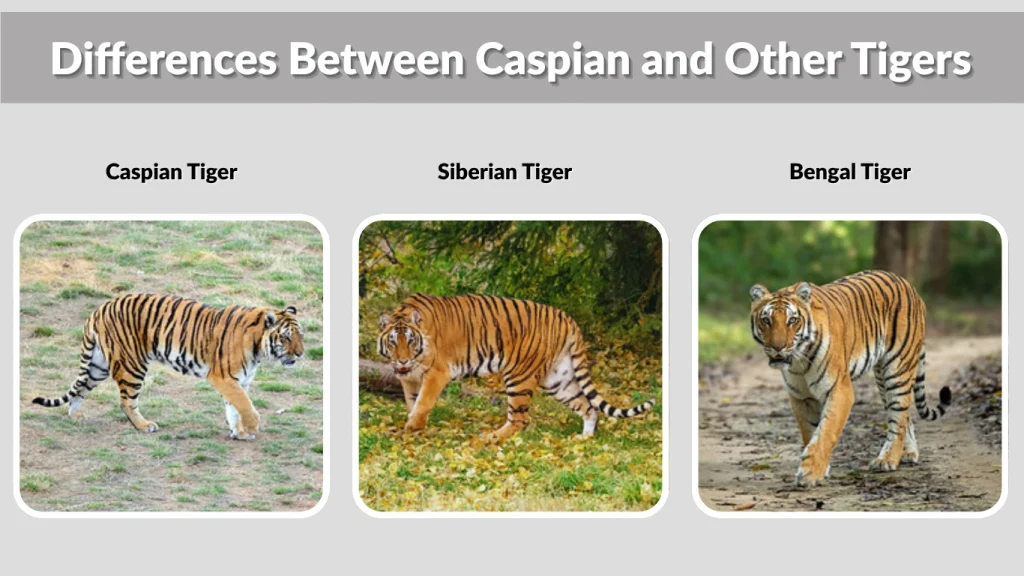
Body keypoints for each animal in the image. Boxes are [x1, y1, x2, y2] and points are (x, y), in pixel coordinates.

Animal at [31, 294, 305, 440]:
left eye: (301, 335)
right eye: (286, 338)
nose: (301, 354)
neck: (259, 348)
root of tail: (100, 308)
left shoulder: (239, 381)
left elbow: (234, 407)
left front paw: (238, 432)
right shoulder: (224, 377)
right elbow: (245, 405)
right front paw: (251, 427)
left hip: (98, 366)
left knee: (80, 388)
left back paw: (75, 416)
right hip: (132, 364)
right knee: (126, 401)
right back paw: (144, 425)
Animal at [376, 293, 656, 441]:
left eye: (410, 341)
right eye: (393, 342)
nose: (402, 361)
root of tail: (567, 317)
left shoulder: (436, 373)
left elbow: (423, 402)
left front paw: (411, 428)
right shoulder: (409, 378)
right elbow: (412, 402)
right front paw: (413, 429)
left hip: (519, 376)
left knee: (520, 419)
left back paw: (489, 438)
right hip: (559, 379)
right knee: (588, 407)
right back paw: (584, 438)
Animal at [749, 270, 952, 487]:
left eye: (792, 320)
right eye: (766, 320)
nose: (778, 347)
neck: (799, 361)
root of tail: (908, 285)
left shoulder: (839, 390)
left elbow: (826, 432)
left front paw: (810, 473)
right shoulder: (802, 397)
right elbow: (811, 432)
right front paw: (821, 468)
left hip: (898, 369)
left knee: (898, 417)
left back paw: (887, 460)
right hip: (882, 379)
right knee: (905, 415)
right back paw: (908, 453)